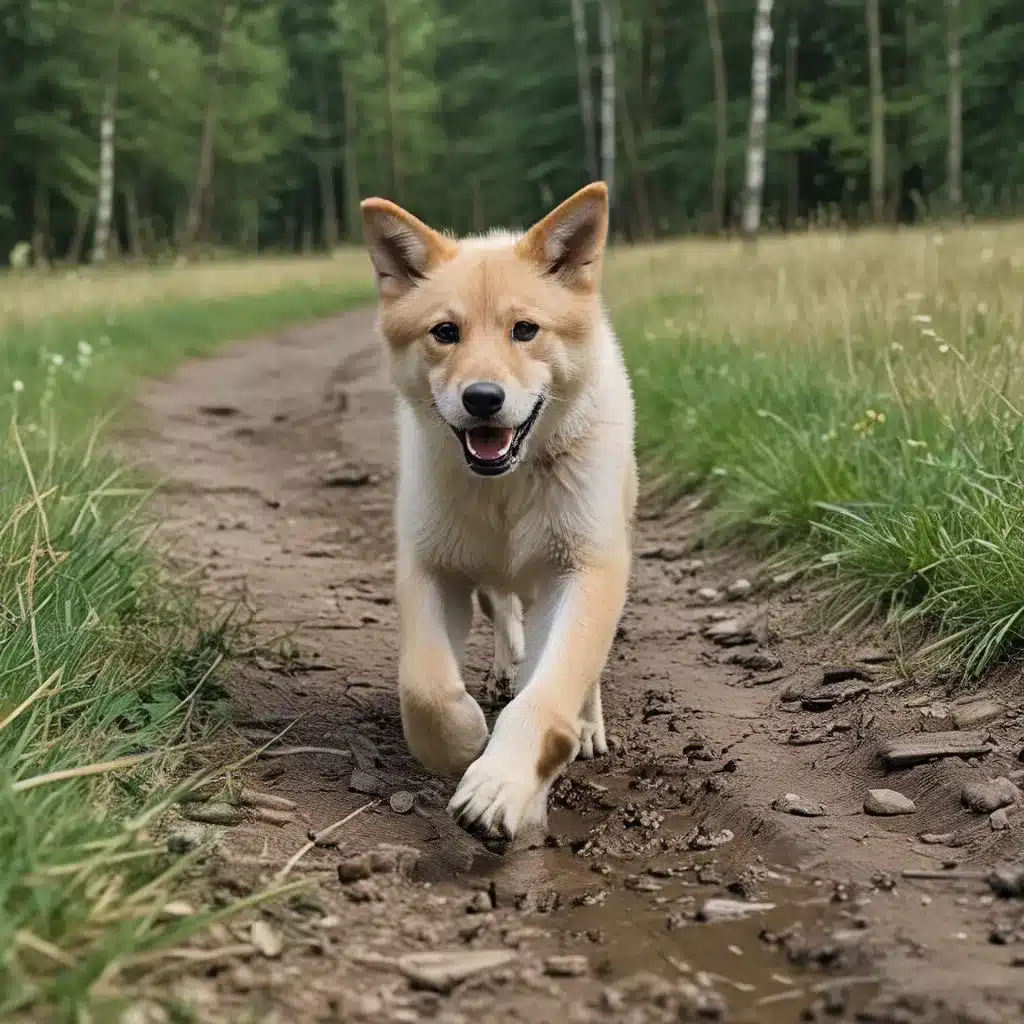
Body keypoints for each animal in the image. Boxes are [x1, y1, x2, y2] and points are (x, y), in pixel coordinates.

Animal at [358, 182, 630, 839]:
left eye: (525, 330)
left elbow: (550, 691)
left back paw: (585, 725)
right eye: (445, 331)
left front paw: (501, 784)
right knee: (503, 608)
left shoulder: (586, 569)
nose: (483, 399)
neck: (509, 484)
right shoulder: (432, 567)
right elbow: (425, 686)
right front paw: (462, 743)